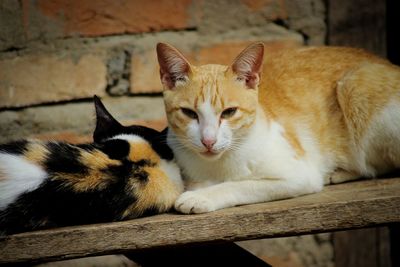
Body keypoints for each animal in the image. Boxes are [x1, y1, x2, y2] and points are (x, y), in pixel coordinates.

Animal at [155, 42, 400, 215]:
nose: (208, 141)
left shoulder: (299, 175)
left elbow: (241, 185)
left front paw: (201, 196)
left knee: (375, 165)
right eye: (189, 113)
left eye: (229, 112)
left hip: (355, 86)